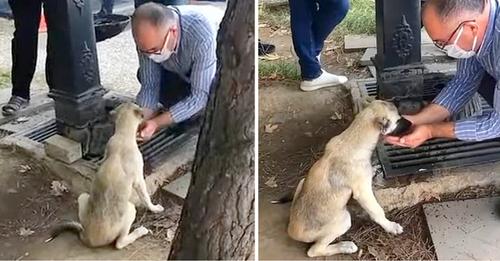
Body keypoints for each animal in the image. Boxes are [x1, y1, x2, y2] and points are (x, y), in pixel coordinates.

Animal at [46, 101, 164, 248]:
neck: (123, 134)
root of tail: (88, 237)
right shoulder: (139, 180)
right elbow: (146, 198)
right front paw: (155, 208)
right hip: (131, 209)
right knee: (119, 243)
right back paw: (140, 231)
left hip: (83, 197)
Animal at [278, 99, 410, 256]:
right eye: (399, 119)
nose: (411, 124)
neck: (353, 138)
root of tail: (291, 230)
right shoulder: (363, 193)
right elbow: (377, 211)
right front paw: (390, 226)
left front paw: (373, 170)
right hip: (344, 220)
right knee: (314, 251)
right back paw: (345, 246)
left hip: (302, 181)